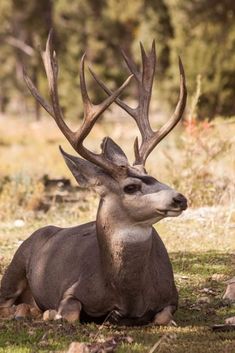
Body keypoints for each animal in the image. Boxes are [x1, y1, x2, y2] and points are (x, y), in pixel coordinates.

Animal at [0, 33, 187, 324]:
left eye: (154, 176)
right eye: (130, 187)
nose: (180, 198)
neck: (126, 293)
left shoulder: (171, 297)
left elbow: (163, 317)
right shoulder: (71, 290)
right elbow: (68, 313)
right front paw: (50, 312)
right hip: (14, 265)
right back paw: (26, 310)